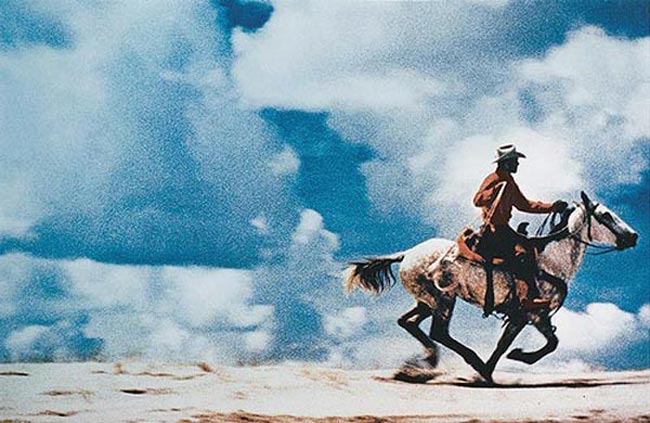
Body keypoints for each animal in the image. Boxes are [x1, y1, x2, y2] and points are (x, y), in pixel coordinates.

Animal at [344, 192, 638, 383]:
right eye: (606, 215)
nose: (633, 236)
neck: (550, 260)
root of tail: (407, 254)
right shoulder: (532, 314)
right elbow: (546, 344)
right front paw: (513, 359)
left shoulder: (524, 317)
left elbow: (511, 344)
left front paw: (489, 370)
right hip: (443, 300)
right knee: (439, 332)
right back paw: (463, 359)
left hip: (426, 301)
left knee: (408, 322)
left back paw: (424, 362)